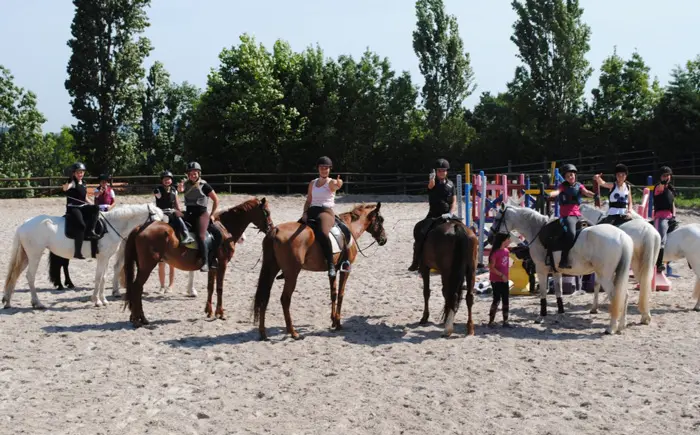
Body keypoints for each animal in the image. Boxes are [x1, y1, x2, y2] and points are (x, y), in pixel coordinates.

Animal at [3, 204, 163, 310]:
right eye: (157, 218)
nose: (160, 233)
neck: (110, 227)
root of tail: (24, 224)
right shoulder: (102, 258)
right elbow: (98, 278)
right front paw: (97, 301)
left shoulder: (106, 258)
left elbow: (103, 278)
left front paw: (103, 300)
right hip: (35, 255)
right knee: (30, 276)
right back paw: (37, 303)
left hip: (25, 256)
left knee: (15, 275)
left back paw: (8, 302)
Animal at [124, 198, 272, 328]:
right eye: (267, 212)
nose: (271, 228)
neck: (225, 229)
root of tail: (141, 227)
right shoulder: (222, 264)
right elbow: (219, 288)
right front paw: (220, 313)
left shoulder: (213, 267)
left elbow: (210, 287)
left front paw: (209, 311)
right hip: (147, 266)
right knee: (137, 287)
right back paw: (138, 320)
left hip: (142, 266)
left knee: (138, 288)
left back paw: (141, 318)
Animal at [254, 203, 388, 342]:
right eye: (381, 220)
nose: (384, 239)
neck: (349, 227)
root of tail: (275, 230)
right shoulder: (345, 270)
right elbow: (341, 294)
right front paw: (338, 323)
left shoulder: (333, 269)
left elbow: (333, 294)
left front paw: (333, 321)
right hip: (292, 274)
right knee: (285, 299)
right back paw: (293, 332)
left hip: (271, 269)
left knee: (265, 297)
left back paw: (263, 333)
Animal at [486, 204, 636, 334]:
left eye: (497, 219)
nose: (490, 238)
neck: (537, 230)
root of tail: (621, 236)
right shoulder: (556, 272)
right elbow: (559, 293)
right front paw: (560, 315)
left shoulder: (541, 271)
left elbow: (543, 294)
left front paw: (541, 317)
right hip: (614, 275)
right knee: (624, 295)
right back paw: (621, 325)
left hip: (605, 276)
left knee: (615, 296)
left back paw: (611, 328)